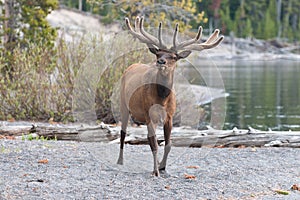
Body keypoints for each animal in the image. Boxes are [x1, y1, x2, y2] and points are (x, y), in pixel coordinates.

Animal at [117, 17, 223, 177]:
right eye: (158, 54)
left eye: (174, 57)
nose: (161, 61)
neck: (162, 98)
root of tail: (130, 67)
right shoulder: (149, 114)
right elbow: (155, 144)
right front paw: (156, 171)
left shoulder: (170, 116)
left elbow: (168, 144)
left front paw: (163, 167)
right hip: (124, 105)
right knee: (123, 133)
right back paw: (120, 161)